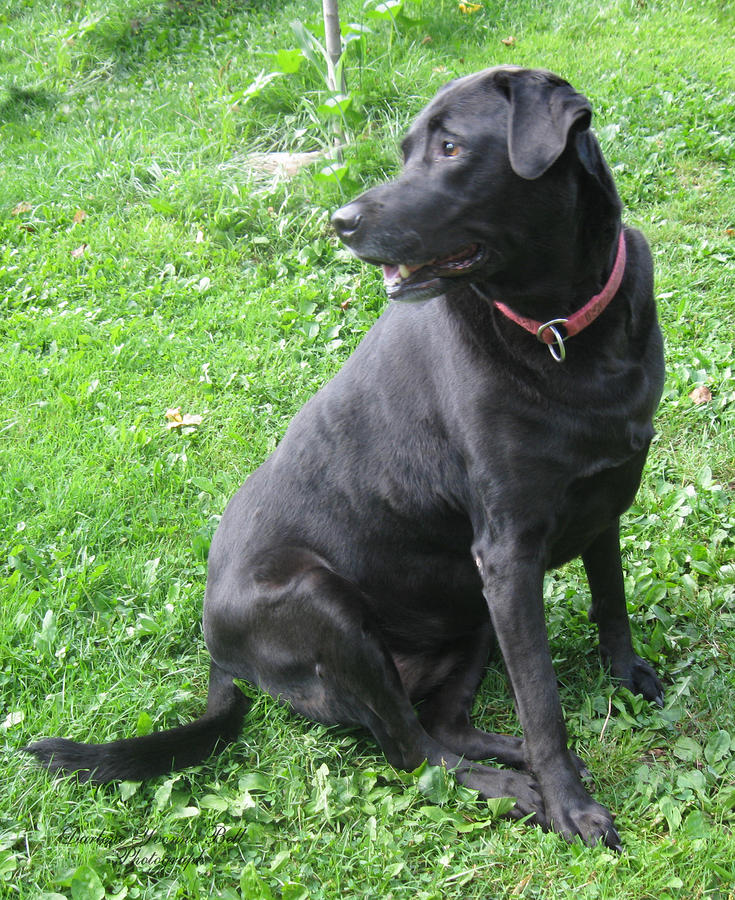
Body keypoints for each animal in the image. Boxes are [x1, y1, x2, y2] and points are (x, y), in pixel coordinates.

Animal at [27, 67, 668, 848]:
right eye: (406, 151)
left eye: (450, 147)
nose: (341, 221)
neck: (559, 328)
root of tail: (217, 652)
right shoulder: (507, 555)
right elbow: (541, 699)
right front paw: (570, 806)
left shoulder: (603, 502)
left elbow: (612, 601)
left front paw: (624, 677)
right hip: (326, 603)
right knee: (411, 750)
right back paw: (519, 787)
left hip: (467, 606)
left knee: (442, 724)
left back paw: (511, 757)